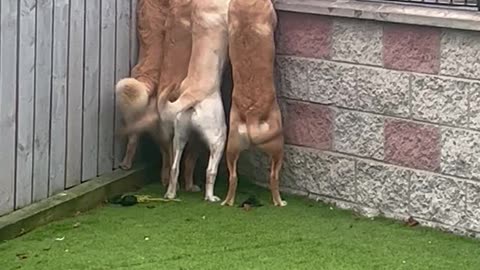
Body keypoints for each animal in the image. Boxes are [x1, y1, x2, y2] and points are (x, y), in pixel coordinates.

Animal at [222, 0, 286, 207]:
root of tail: (251, 116)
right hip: (277, 149)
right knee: (273, 177)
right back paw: (279, 202)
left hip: (231, 148)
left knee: (233, 178)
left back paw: (227, 201)